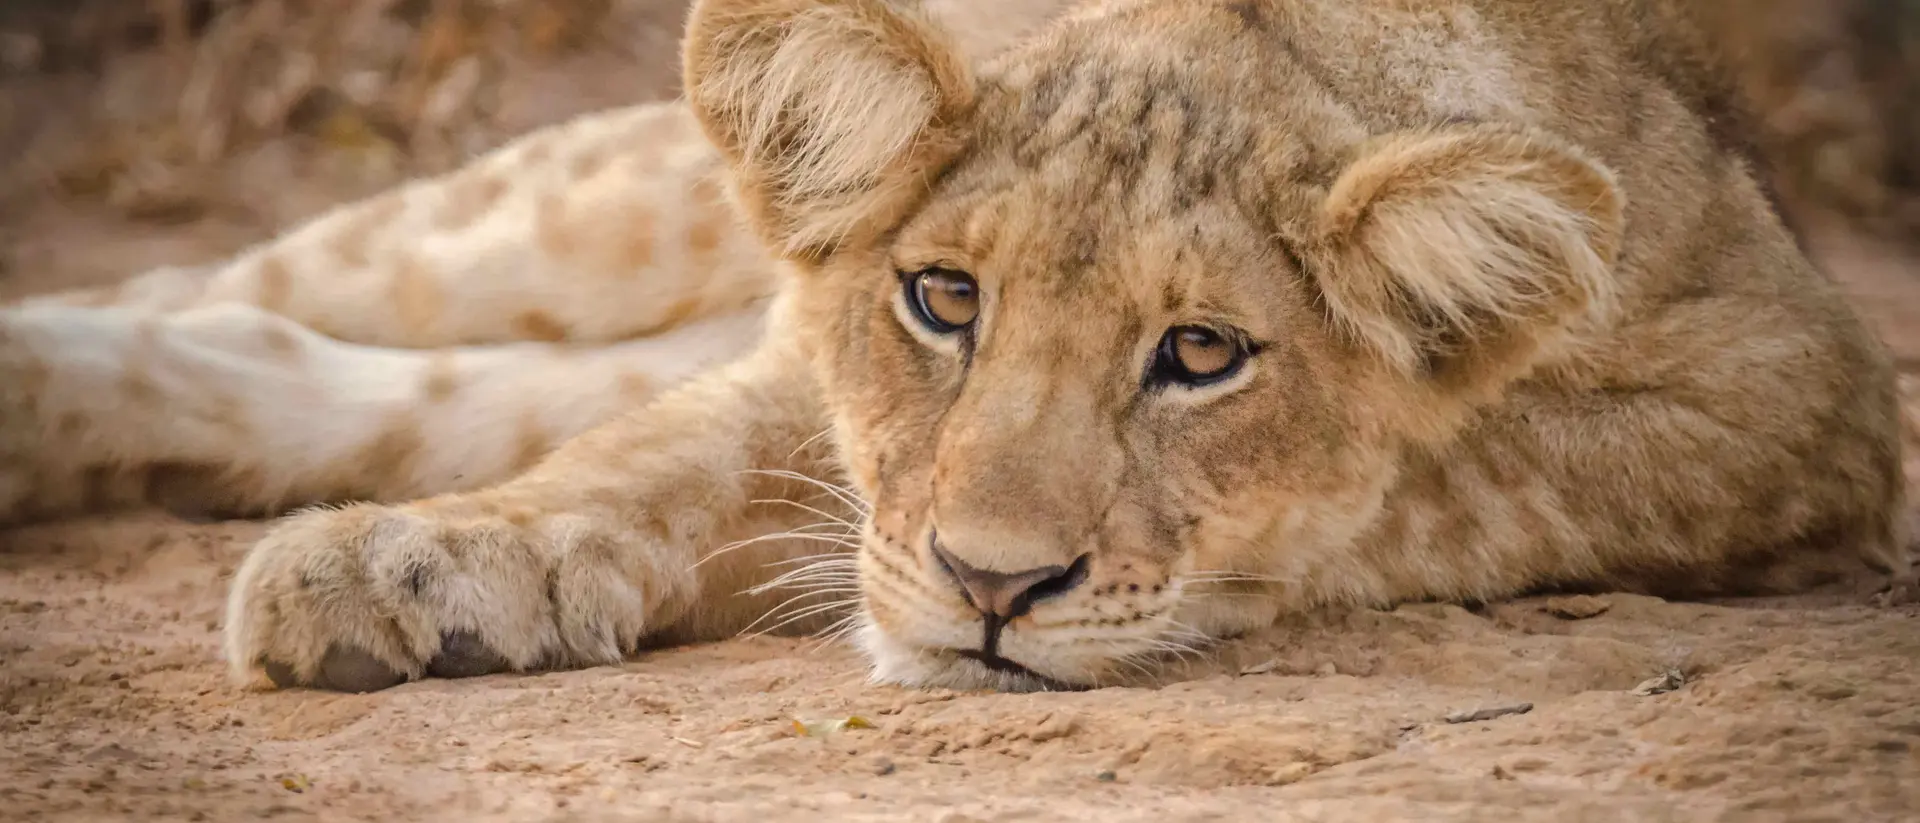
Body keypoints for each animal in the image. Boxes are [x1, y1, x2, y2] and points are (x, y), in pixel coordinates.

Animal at [1, 0, 1909, 694]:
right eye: (944, 298)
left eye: (1201, 353)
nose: (994, 588)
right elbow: (685, 445)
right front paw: (435, 566)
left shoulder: (1797, 396)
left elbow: (1445, 470)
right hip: (595, 200)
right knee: (273, 280)